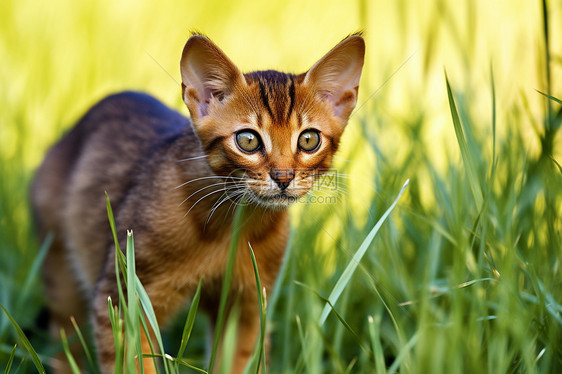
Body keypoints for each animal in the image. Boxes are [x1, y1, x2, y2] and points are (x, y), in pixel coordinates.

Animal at [31, 33, 364, 372]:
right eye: (248, 140)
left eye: (309, 140)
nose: (283, 177)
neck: (230, 227)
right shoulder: (122, 302)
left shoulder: (247, 308)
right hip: (62, 274)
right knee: (63, 339)